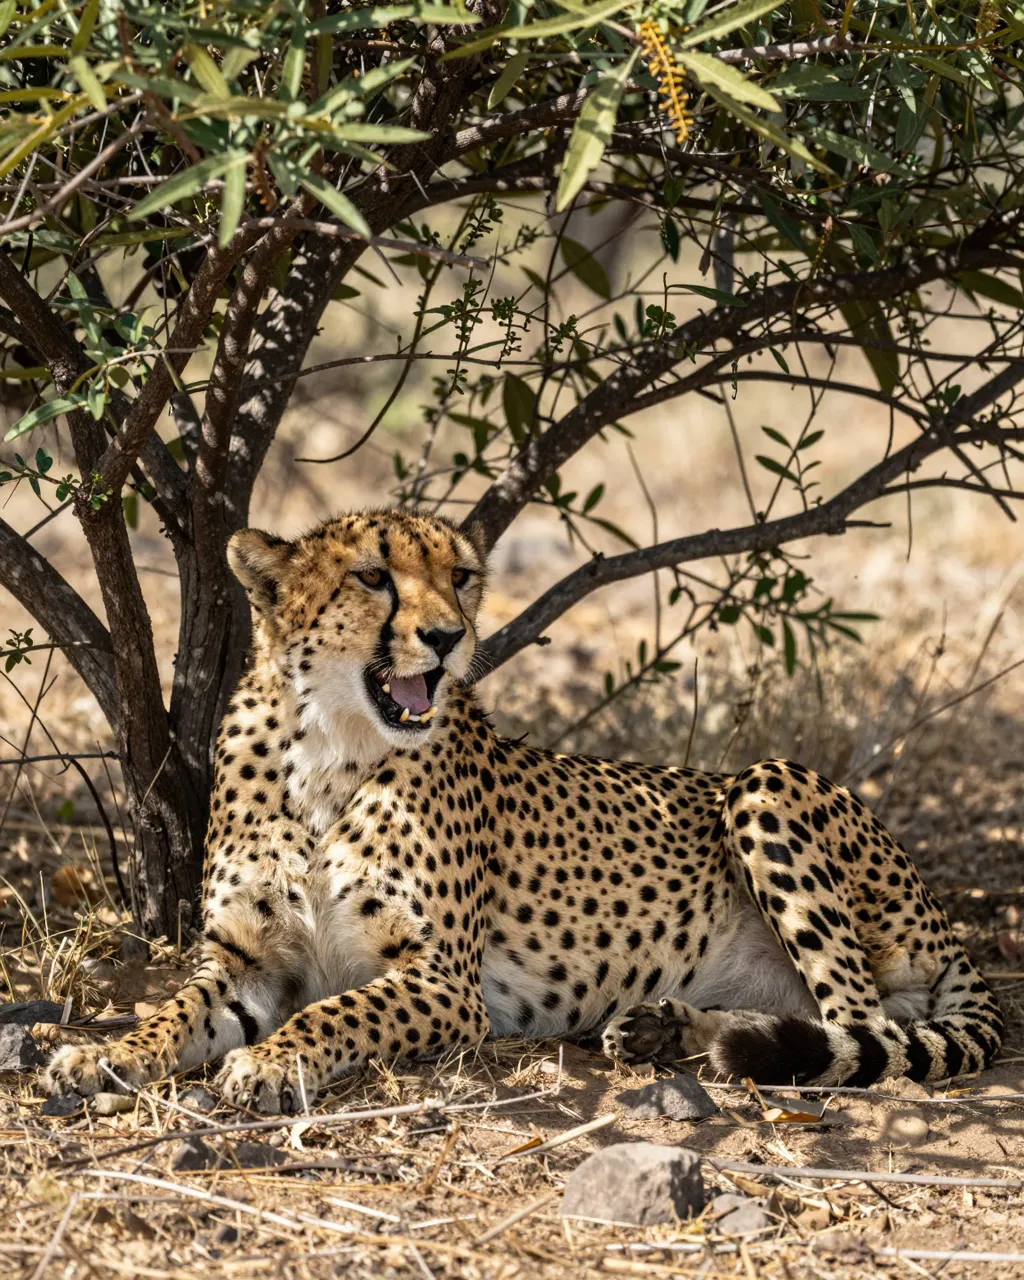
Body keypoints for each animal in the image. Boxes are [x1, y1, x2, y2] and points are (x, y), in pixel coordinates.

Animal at [47, 508, 1003, 1113]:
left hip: (766, 782)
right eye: (373, 576)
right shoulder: (249, 961)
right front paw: (106, 1053)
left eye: (461, 577)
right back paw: (667, 1027)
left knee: (861, 1030)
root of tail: (944, 919)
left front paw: (271, 1064)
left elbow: (331, 1011)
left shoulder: (443, 982)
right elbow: (172, 1010)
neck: (328, 745)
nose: (447, 638)